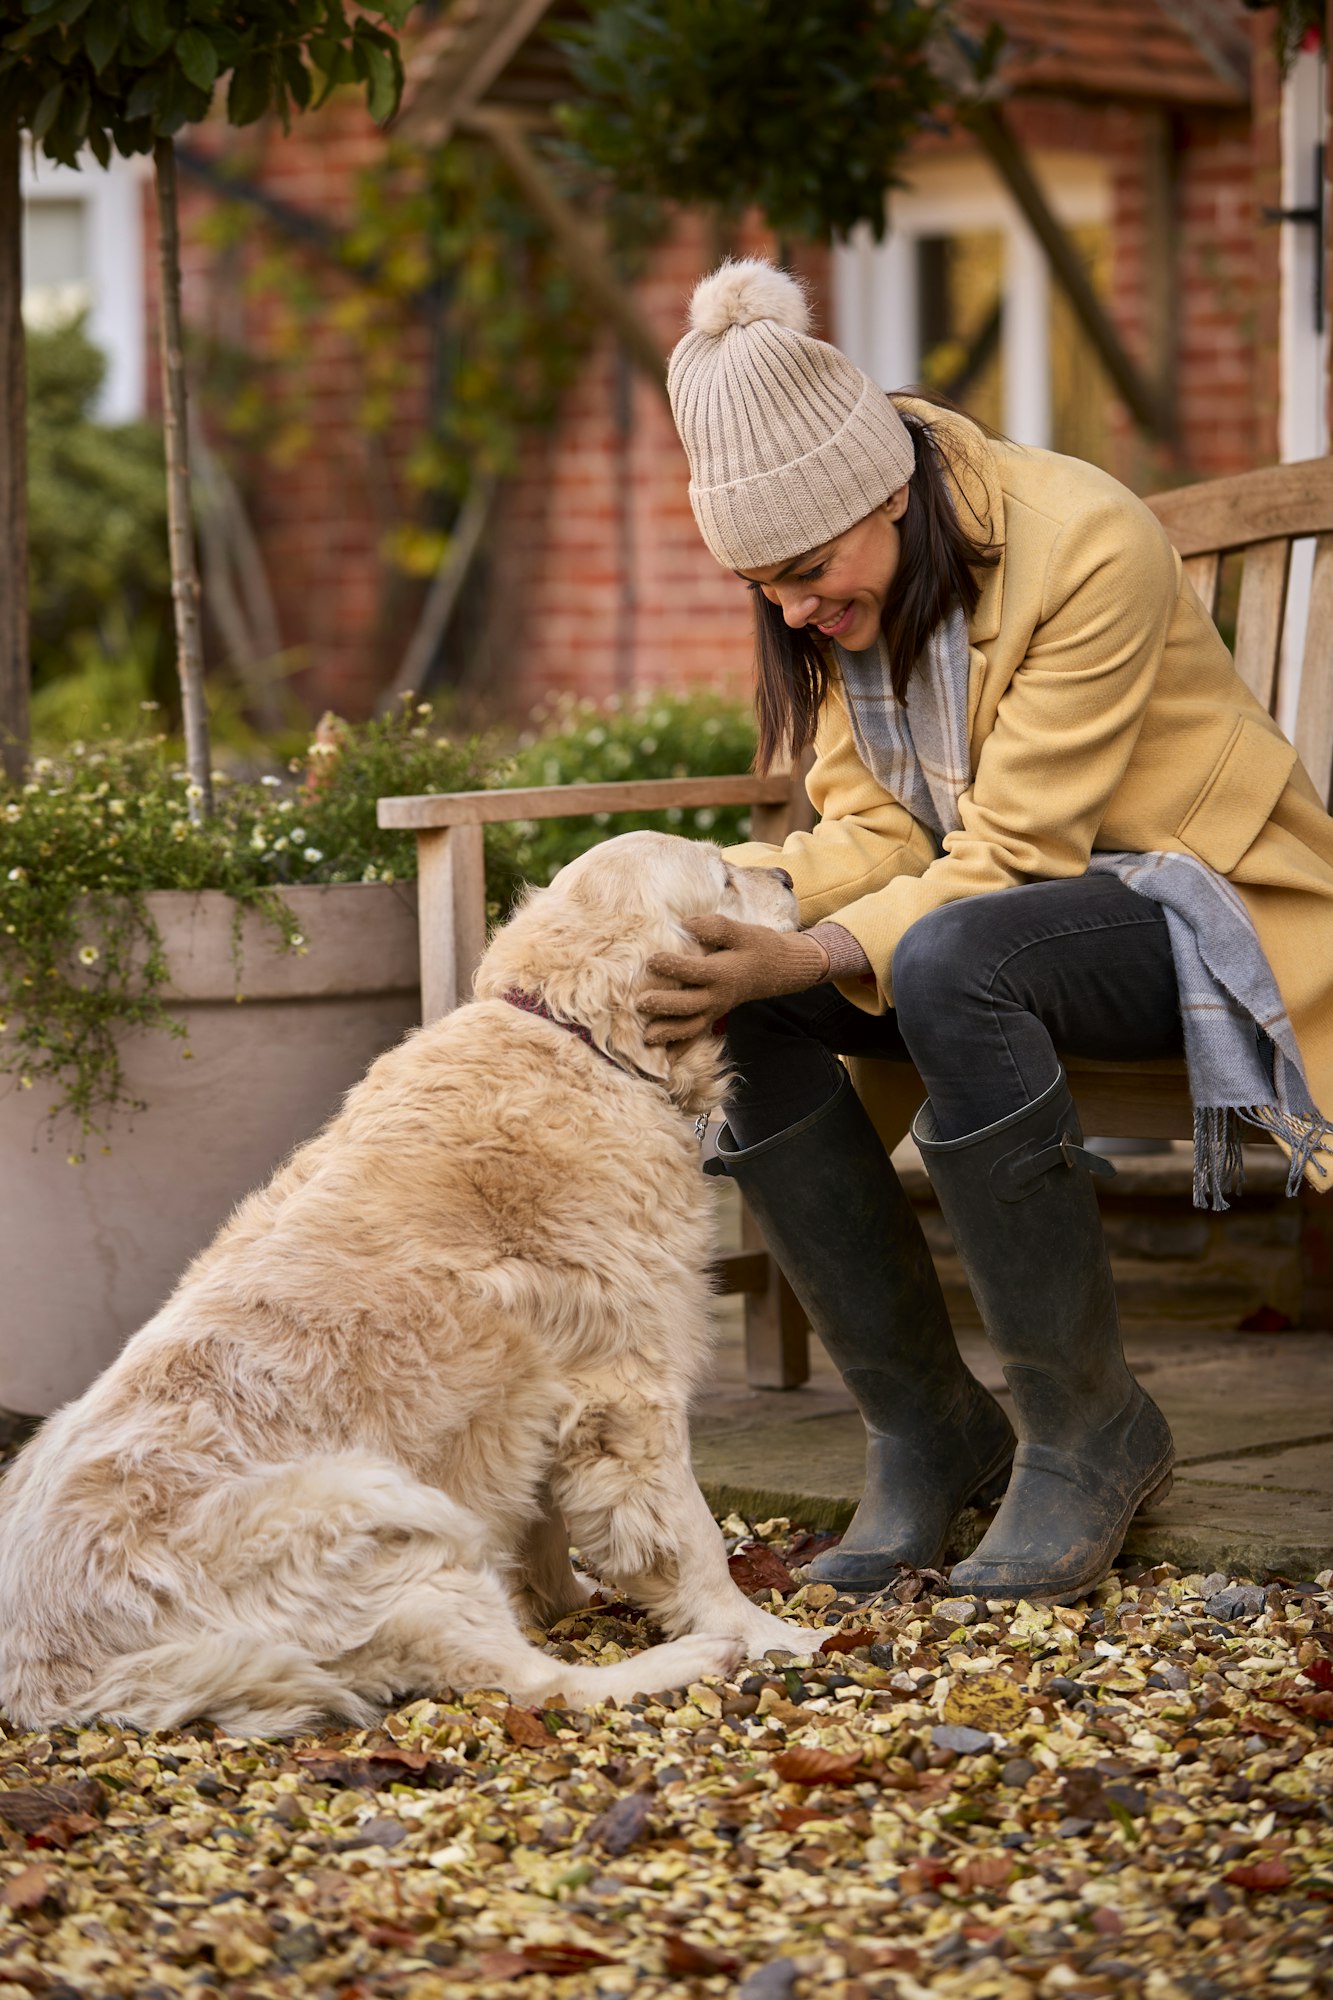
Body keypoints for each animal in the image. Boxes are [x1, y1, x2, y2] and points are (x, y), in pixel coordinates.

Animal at [0, 828, 800, 1736]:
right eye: (723, 877)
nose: (787, 873)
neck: (574, 1037)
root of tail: (54, 1681)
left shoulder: (539, 1397)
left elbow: (544, 1522)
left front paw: (563, 1595)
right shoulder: (627, 1393)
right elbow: (693, 1540)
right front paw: (764, 1632)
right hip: (380, 1508)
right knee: (533, 1685)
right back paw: (690, 1660)